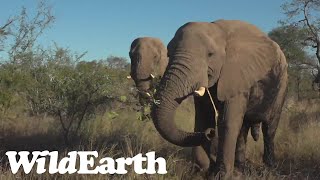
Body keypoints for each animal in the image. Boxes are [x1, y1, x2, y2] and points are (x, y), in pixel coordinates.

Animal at [150, 19, 288, 178]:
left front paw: (220, 175)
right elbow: (203, 118)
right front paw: (200, 170)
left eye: (210, 54)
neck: (219, 29)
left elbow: (227, 122)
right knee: (243, 128)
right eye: (169, 53)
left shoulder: (237, 73)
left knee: (269, 127)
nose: (211, 133)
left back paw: (269, 169)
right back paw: (240, 169)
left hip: (282, 83)